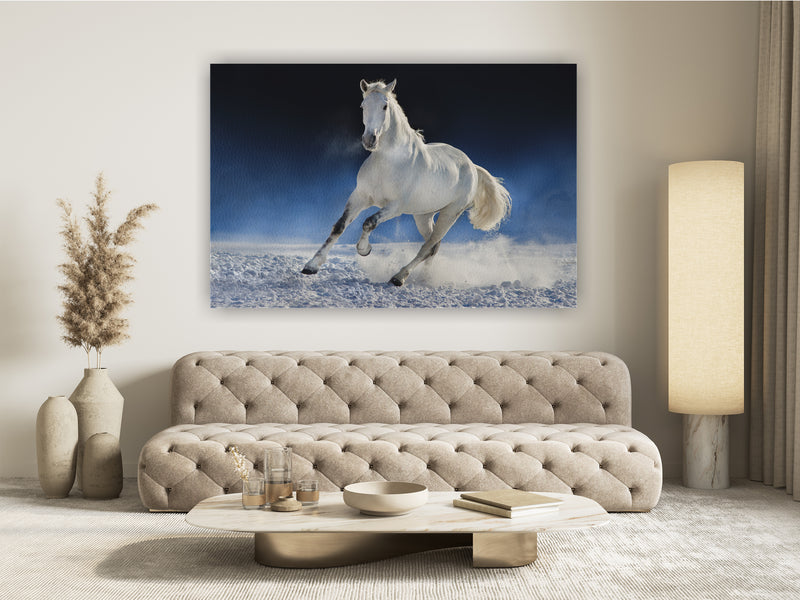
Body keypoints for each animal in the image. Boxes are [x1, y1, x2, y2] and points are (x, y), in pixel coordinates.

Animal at [300, 79, 512, 286]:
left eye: (385, 106)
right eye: (363, 105)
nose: (369, 140)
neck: (388, 162)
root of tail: (472, 166)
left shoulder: (395, 207)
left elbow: (369, 223)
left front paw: (364, 249)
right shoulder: (360, 197)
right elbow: (339, 226)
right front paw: (311, 266)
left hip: (450, 214)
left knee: (428, 246)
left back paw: (399, 277)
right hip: (423, 215)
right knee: (433, 247)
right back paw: (424, 278)